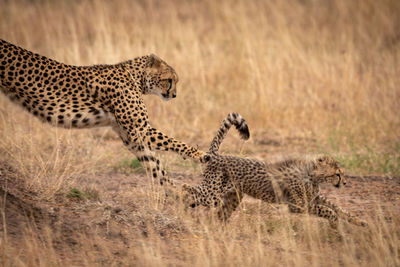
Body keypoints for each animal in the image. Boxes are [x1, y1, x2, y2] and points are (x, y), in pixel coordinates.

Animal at [0, 39, 206, 185]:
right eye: (169, 80)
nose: (174, 95)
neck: (135, 78)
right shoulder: (139, 130)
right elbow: (175, 143)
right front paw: (201, 155)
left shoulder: (131, 137)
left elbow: (155, 166)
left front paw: (178, 194)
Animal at [183, 113, 368, 228]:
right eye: (337, 174)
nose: (345, 182)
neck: (311, 175)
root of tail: (217, 155)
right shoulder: (297, 205)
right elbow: (328, 210)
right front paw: (334, 222)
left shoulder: (314, 198)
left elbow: (338, 208)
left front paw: (359, 222)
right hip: (212, 194)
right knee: (185, 189)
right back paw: (181, 204)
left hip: (233, 195)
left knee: (220, 212)